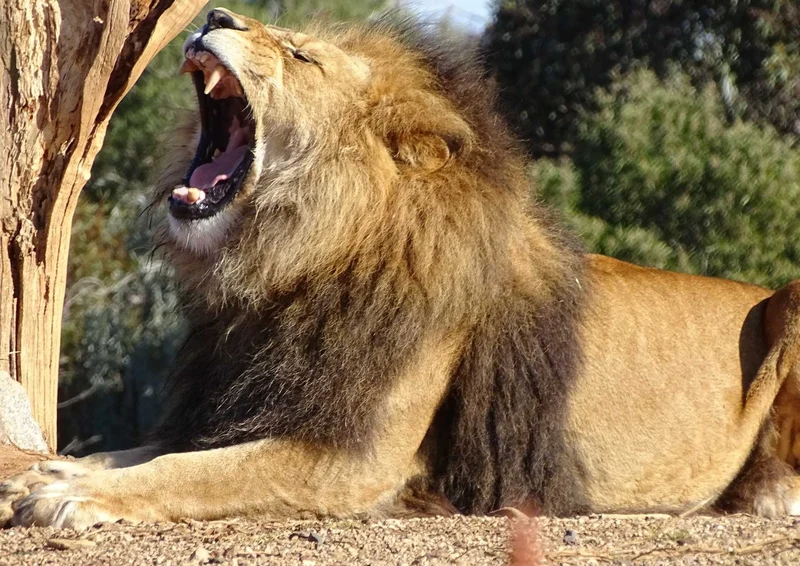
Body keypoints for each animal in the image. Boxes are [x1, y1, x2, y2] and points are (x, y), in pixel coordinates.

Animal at [3, 8, 800, 529]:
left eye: (301, 55)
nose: (218, 13)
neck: (292, 268)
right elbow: (146, 448)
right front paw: (56, 471)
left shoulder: (353, 458)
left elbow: (191, 470)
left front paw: (77, 496)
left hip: (787, 302)